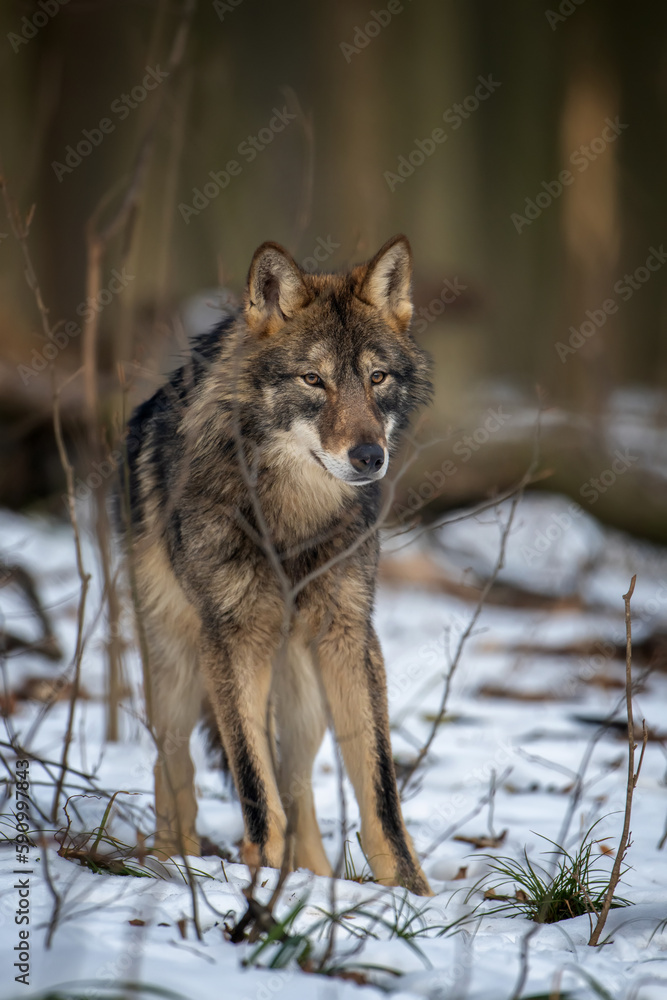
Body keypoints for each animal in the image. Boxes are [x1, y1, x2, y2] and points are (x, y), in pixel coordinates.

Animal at [122, 235, 433, 895]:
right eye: (314, 380)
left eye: (376, 377)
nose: (369, 456)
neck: (291, 519)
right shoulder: (231, 638)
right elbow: (253, 784)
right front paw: (258, 882)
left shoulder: (349, 635)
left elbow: (379, 792)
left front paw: (412, 894)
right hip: (178, 669)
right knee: (175, 765)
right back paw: (172, 863)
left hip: (303, 693)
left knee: (298, 784)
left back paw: (312, 878)